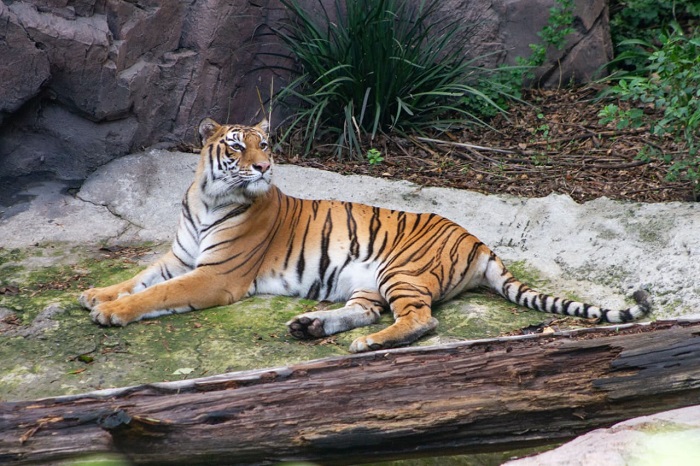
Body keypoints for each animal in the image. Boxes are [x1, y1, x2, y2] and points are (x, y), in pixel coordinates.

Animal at [79, 117, 652, 354]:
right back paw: (310, 326)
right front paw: (95, 294)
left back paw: (367, 344)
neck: (208, 198)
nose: (264, 167)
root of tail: (479, 241)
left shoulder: (214, 276)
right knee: (367, 310)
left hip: (400, 271)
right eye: (239, 147)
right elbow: (141, 277)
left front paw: (111, 312)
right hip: (365, 280)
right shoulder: (180, 257)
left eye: (266, 144)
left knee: (419, 321)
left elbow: (158, 293)